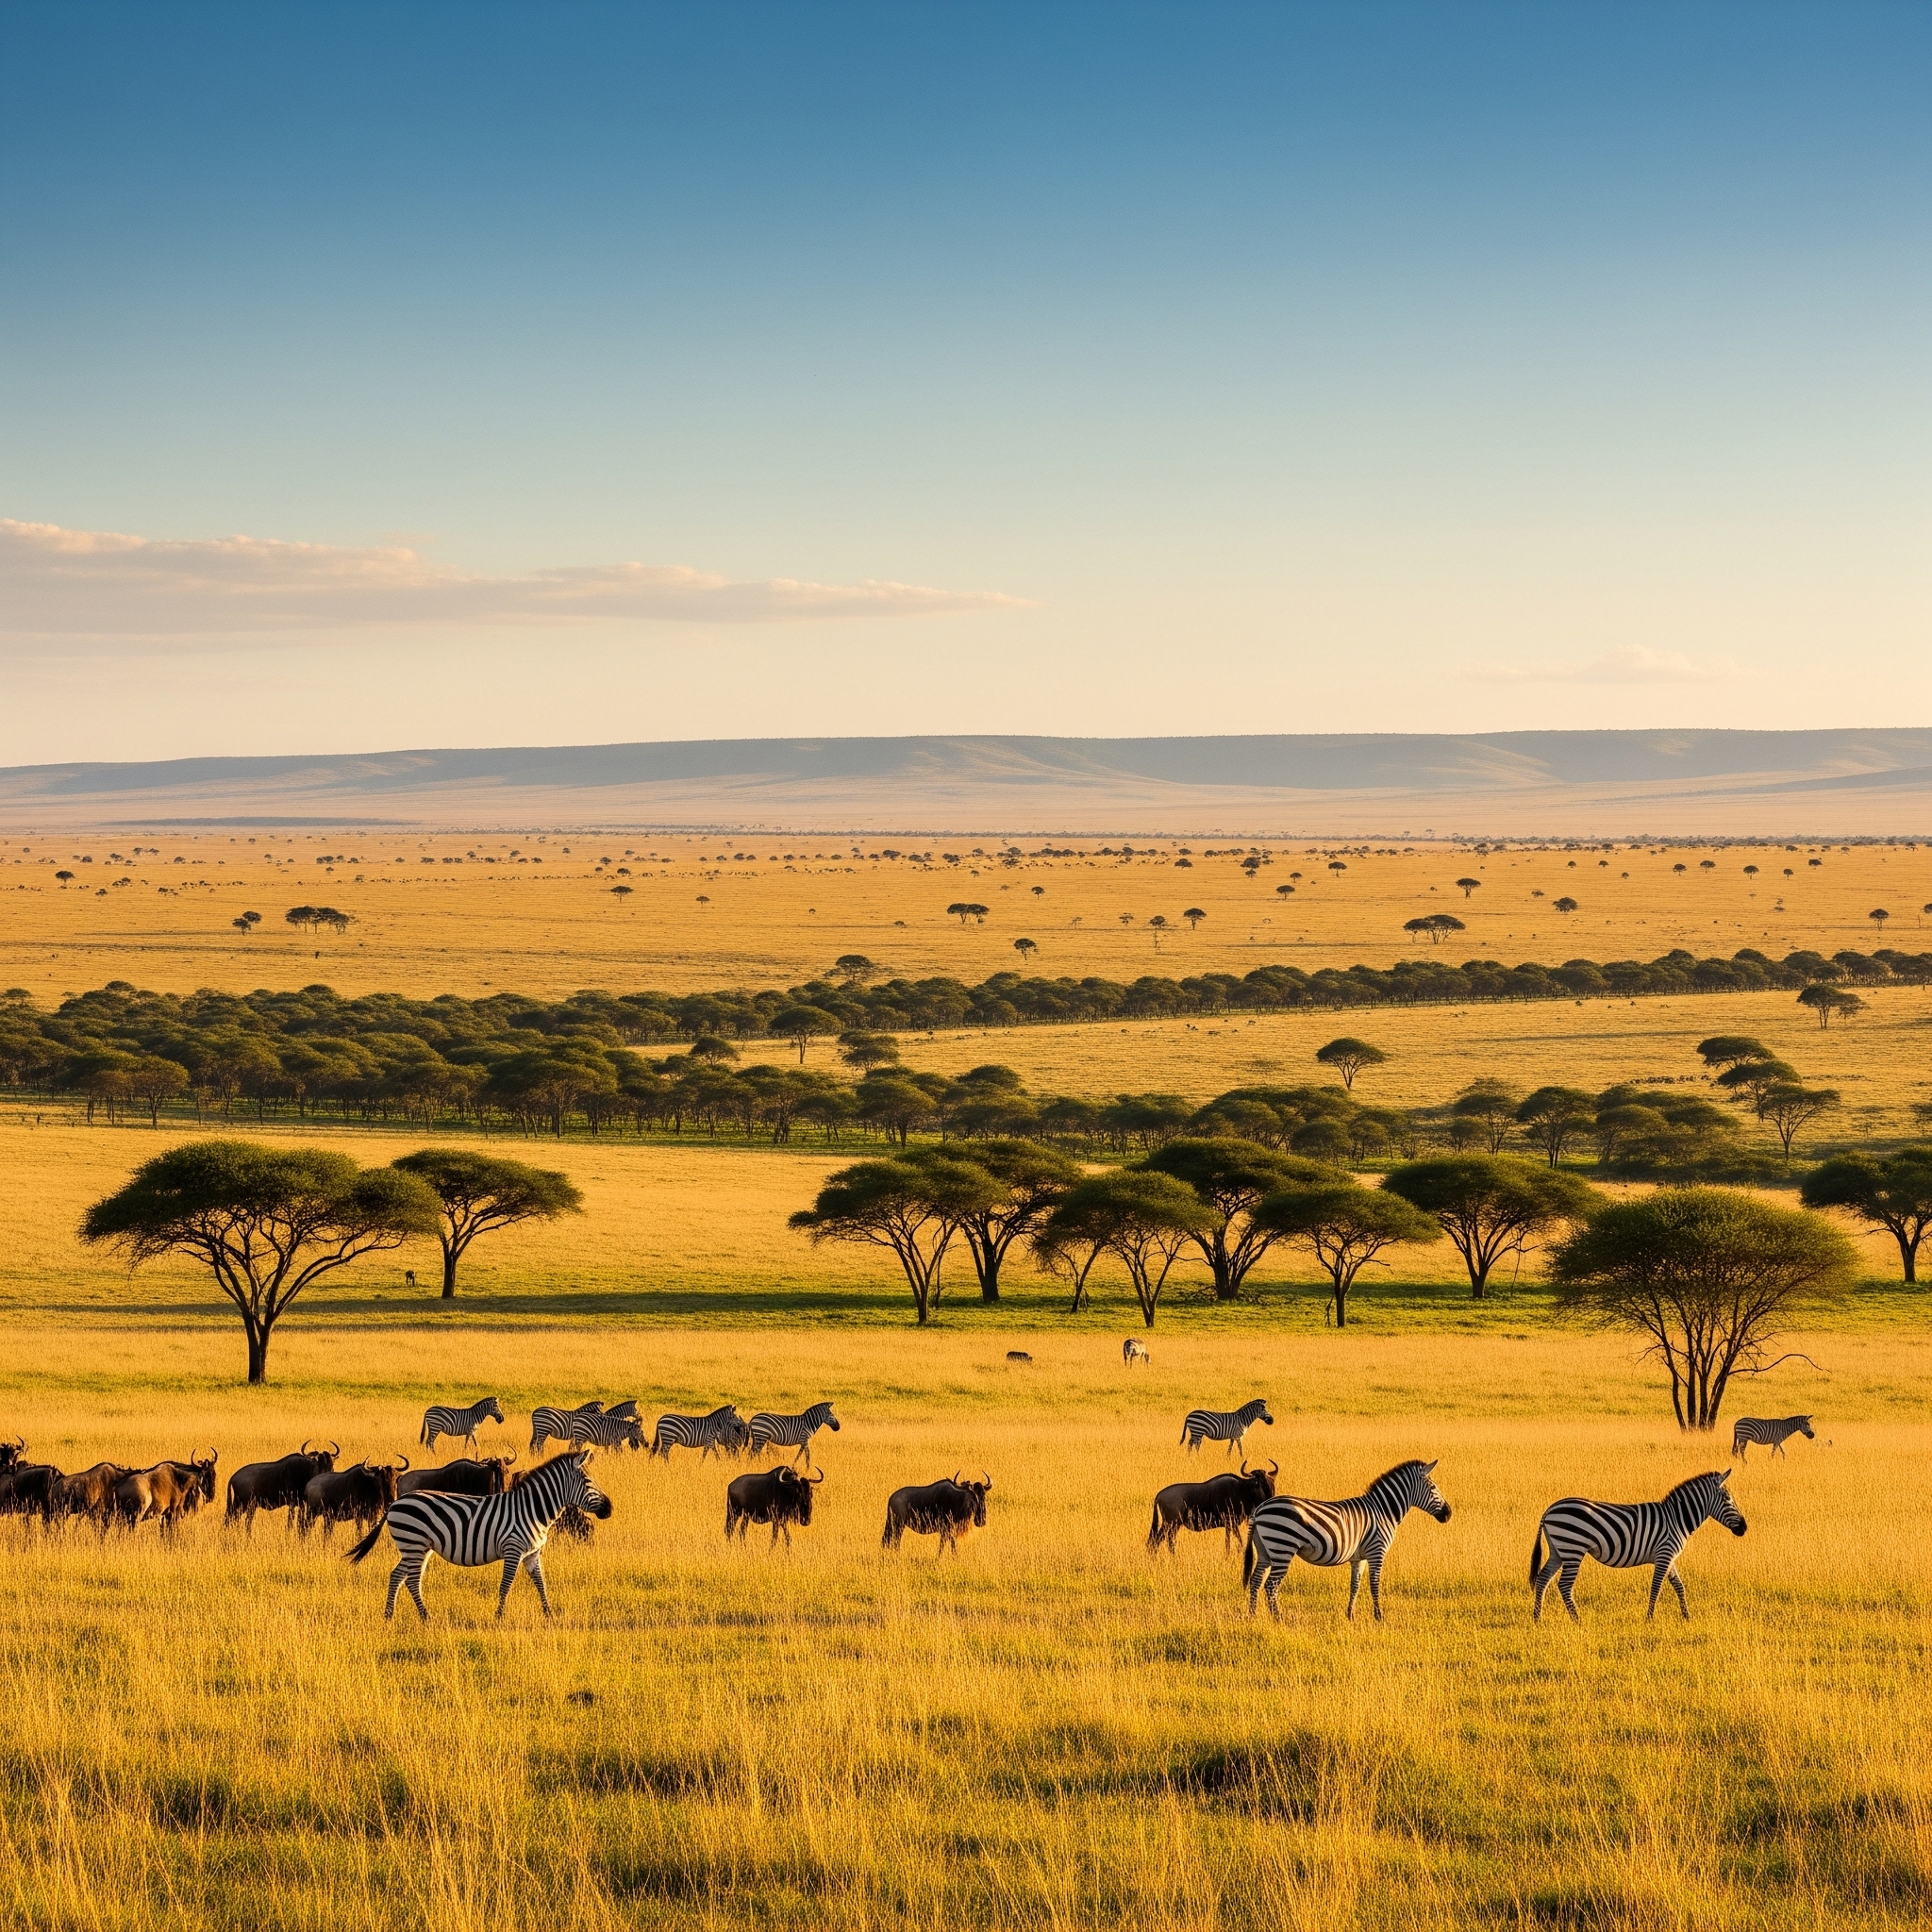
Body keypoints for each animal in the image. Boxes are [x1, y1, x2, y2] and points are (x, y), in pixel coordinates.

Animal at [347, 1450, 612, 1619]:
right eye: (588, 1481)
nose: (609, 1509)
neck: (532, 1510)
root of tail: (395, 1502)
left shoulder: (532, 1553)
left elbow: (541, 1584)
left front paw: (549, 1615)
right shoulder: (513, 1549)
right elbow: (506, 1585)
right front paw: (499, 1616)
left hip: (417, 1547)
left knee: (396, 1576)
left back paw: (389, 1615)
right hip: (414, 1544)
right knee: (411, 1580)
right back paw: (425, 1616)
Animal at [1243, 1460, 1452, 1620]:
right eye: (1433, 1487)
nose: (1448, 1514)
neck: (1383, 1511)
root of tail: (1259, 1509)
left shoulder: (1359, 1557)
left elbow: (1355, 1585)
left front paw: (1350, 1615)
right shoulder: (1377, 1551)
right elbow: (1374, 1584)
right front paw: (1379, 1617)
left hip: (1265, 1550)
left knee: (1256, 1581)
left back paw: (1253, 1616)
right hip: (1282, 1547)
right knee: (1270, 1585)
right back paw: (1278, 1618)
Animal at [1531, 1470, 1747, 1623]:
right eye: (1728, 1500)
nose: (1744, 1528)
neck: (1677, 1518)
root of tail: (1549, 1509)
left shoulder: (1669, 1556)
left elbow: (1679, 1586)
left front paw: (1687, 1617)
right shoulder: (1664, 1554)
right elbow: (1656, 1587)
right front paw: (1649, 1619)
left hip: (1559, 1551)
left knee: (1542, 1579)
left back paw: (1537, 1619)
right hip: (1573, 1549)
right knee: (1564, 1585)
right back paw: (1578, 1621)